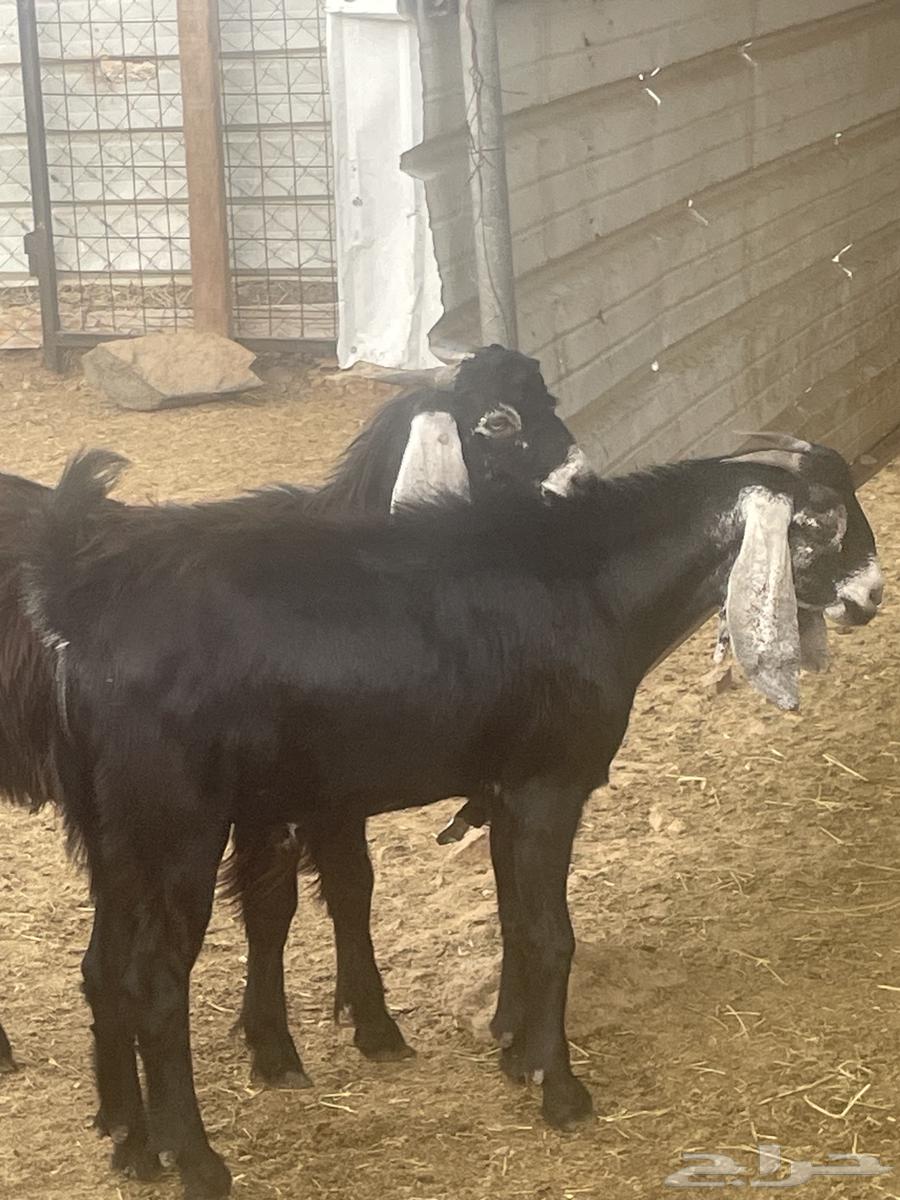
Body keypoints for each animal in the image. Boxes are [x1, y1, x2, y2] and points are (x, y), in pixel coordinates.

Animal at [0, 344, 585, 1081]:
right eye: (499, 421)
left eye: (550, 400)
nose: (583, 484)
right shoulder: (291, 792)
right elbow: (289, 897)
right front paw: (303, 1039)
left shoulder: (317, 792)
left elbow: (323, 893)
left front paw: (329, 1030)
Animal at [20, 438, 881, 1198]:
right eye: (822, 520)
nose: (871, 597)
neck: (594, 587)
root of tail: (81, 615)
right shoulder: (548, 784)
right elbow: (553, 936)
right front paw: (562, 1091)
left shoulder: (503, 792)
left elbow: (513, 920)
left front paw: (514, 1051)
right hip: (177, 830)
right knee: (157, 984)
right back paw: (196, 1162)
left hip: (113, 837)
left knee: (104, 970)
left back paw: (134, 1146)